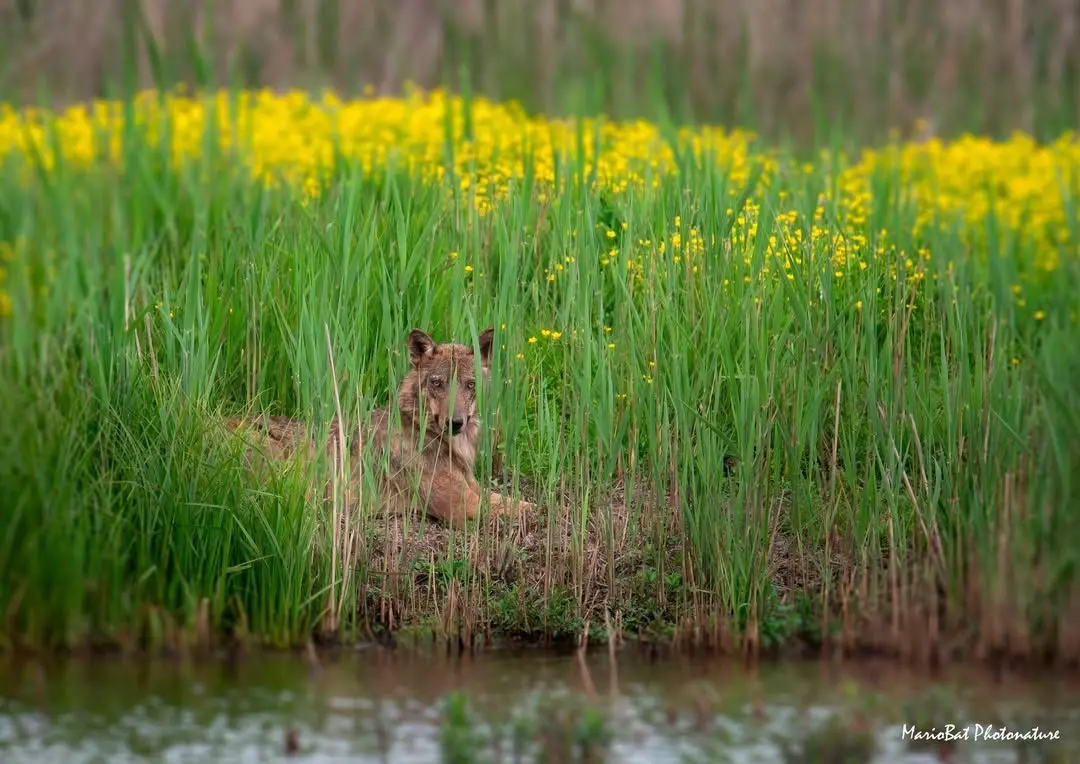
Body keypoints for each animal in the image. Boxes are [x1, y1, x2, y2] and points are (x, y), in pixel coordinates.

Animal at [226, 326, 535, 529]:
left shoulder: (475, 490)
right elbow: (526, 508)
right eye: (437, 383)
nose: (455, 422)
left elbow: (519, 501)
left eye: (470, 385)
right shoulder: (464, 506)